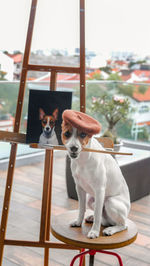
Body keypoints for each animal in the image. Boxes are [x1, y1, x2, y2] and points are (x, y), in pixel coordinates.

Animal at [61, 110, 131, 239]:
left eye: (83, 134)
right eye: (67, 133)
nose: (74, 148)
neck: (83, 160)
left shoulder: (99, 191)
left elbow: (98, 213)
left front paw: (94, 232)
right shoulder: (79, 188)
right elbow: (81, 208)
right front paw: (78, 222)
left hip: (110, 202)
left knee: (122, 224)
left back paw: (110, 230)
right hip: (90, 200)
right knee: (105, 219)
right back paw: (92, 217)